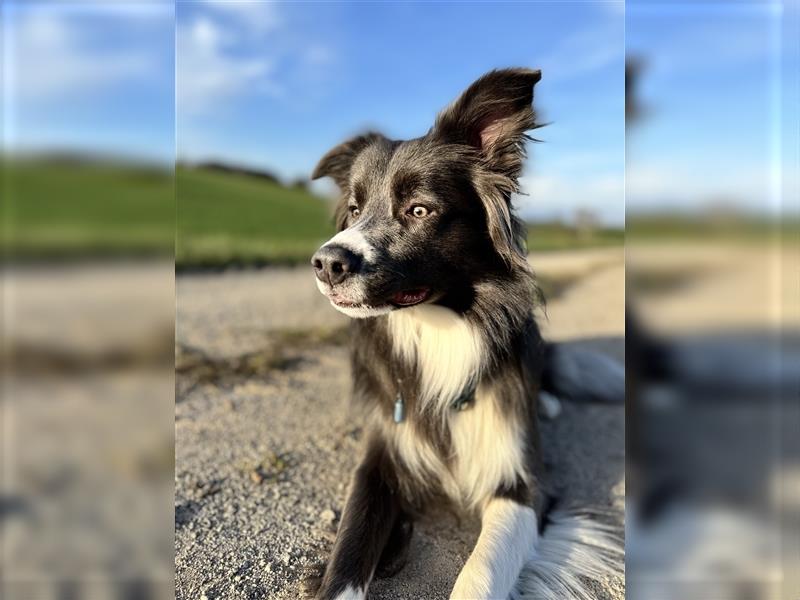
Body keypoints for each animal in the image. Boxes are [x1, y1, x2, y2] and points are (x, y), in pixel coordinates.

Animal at [306, 68, 624, 596]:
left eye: (419, 210)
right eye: (353, 209)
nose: (327, 263)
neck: (438, 326)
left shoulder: (523, 485)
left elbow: (480, 571)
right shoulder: (380, 459)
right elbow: (348, 552)